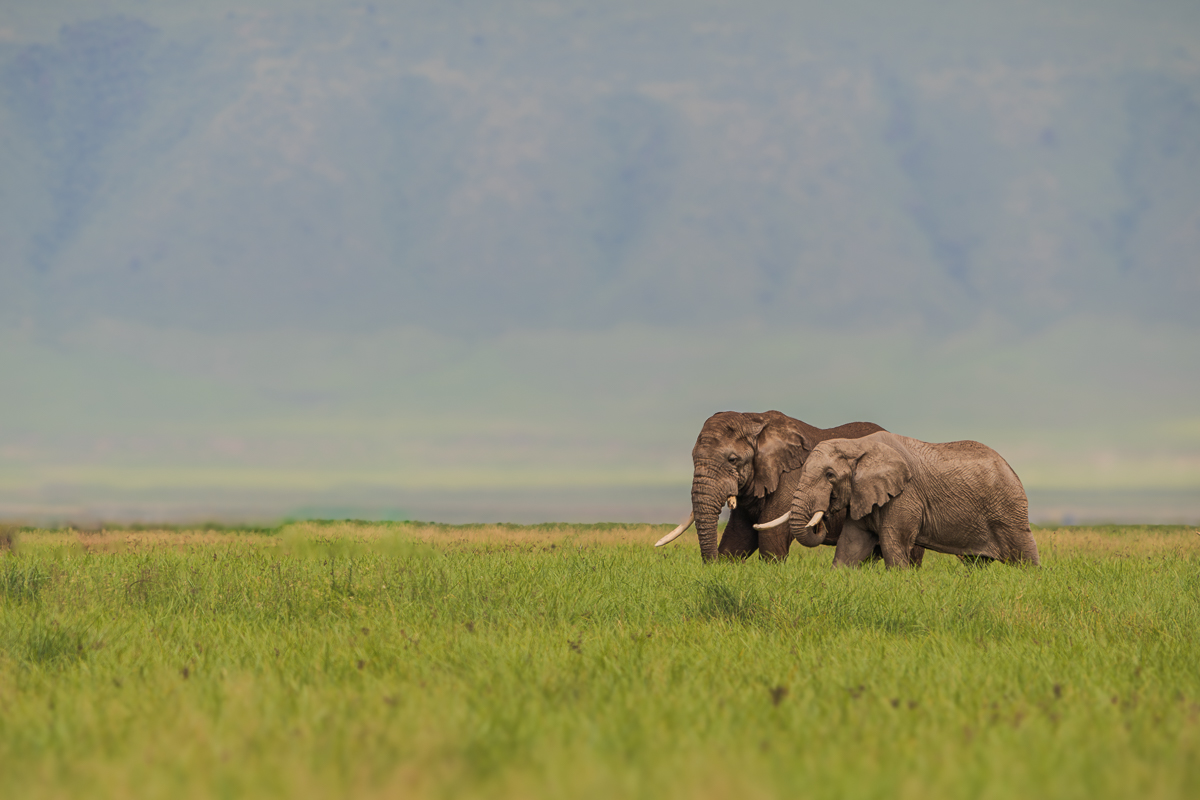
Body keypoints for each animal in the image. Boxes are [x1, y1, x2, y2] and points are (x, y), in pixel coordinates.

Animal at [655, 410, 925, 564]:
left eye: (732, 460)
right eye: (692, 458)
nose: (710, 565)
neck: (754, 421)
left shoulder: (792, 478)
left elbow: (770, 536)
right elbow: (738, 538)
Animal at [759, 431, 1040, 568]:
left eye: (829, 475)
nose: (823, 518)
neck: (858, 445)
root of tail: (1011, 468)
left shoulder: (905, 494)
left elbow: (894, 543)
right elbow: (850, 546)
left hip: (1008, 508)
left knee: (1024, 554)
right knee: (976, 563)